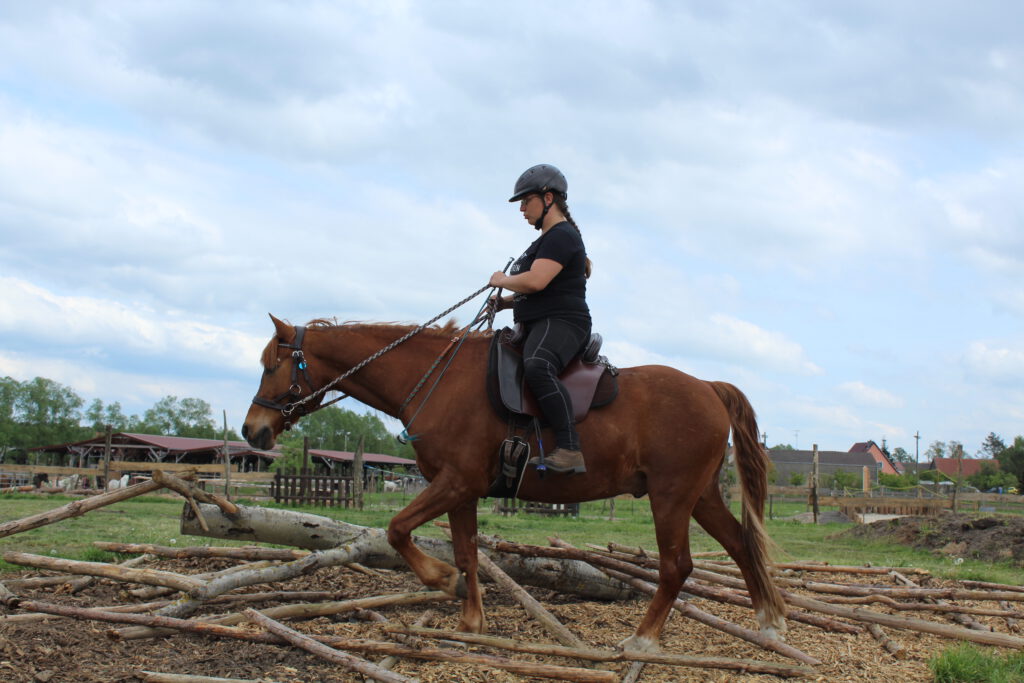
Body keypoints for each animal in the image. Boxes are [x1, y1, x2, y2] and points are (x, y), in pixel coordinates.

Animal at [243, 315, 786, 651]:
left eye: (271, 366)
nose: (252, 432)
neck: (437, 378)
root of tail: (709, 388)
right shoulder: (459, 490)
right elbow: (466, 551)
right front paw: (470, 622)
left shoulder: (456, 482)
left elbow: (398, 530)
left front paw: (441, 581)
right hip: (699, 496)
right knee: (741, 545)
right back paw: (771, 625)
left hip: (670, 496)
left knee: (677, 567)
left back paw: (643, 640)